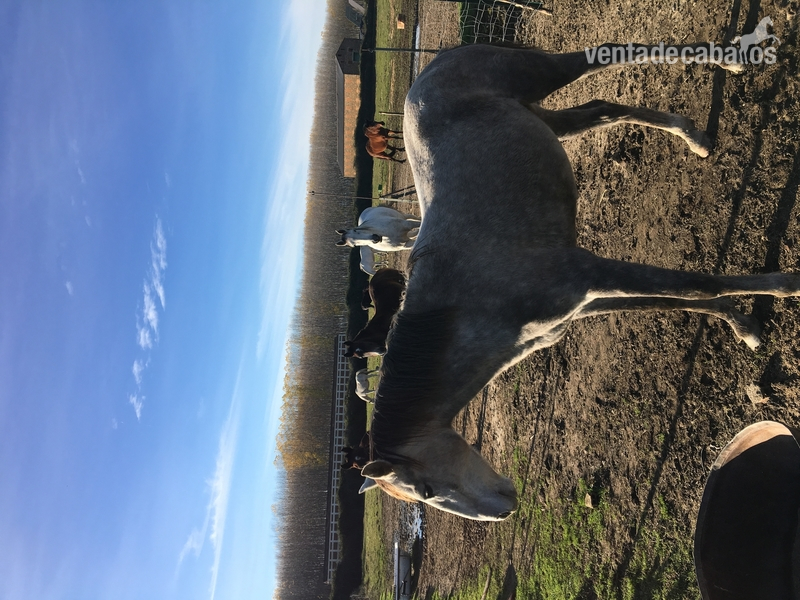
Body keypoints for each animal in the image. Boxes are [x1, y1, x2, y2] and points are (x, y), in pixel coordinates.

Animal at [359, 42, 800, 521]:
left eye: (425, 491)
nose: (504, 511)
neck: (467, 307)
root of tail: (436, 64)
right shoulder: (584, 300)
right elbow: (677, 299)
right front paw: (744, 326)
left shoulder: (587, 276)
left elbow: (696, 286)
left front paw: (787, 285)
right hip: (544, 116)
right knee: (603, 109)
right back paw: (696, 139)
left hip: (543, 75)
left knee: (609, 55)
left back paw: (731, 63)